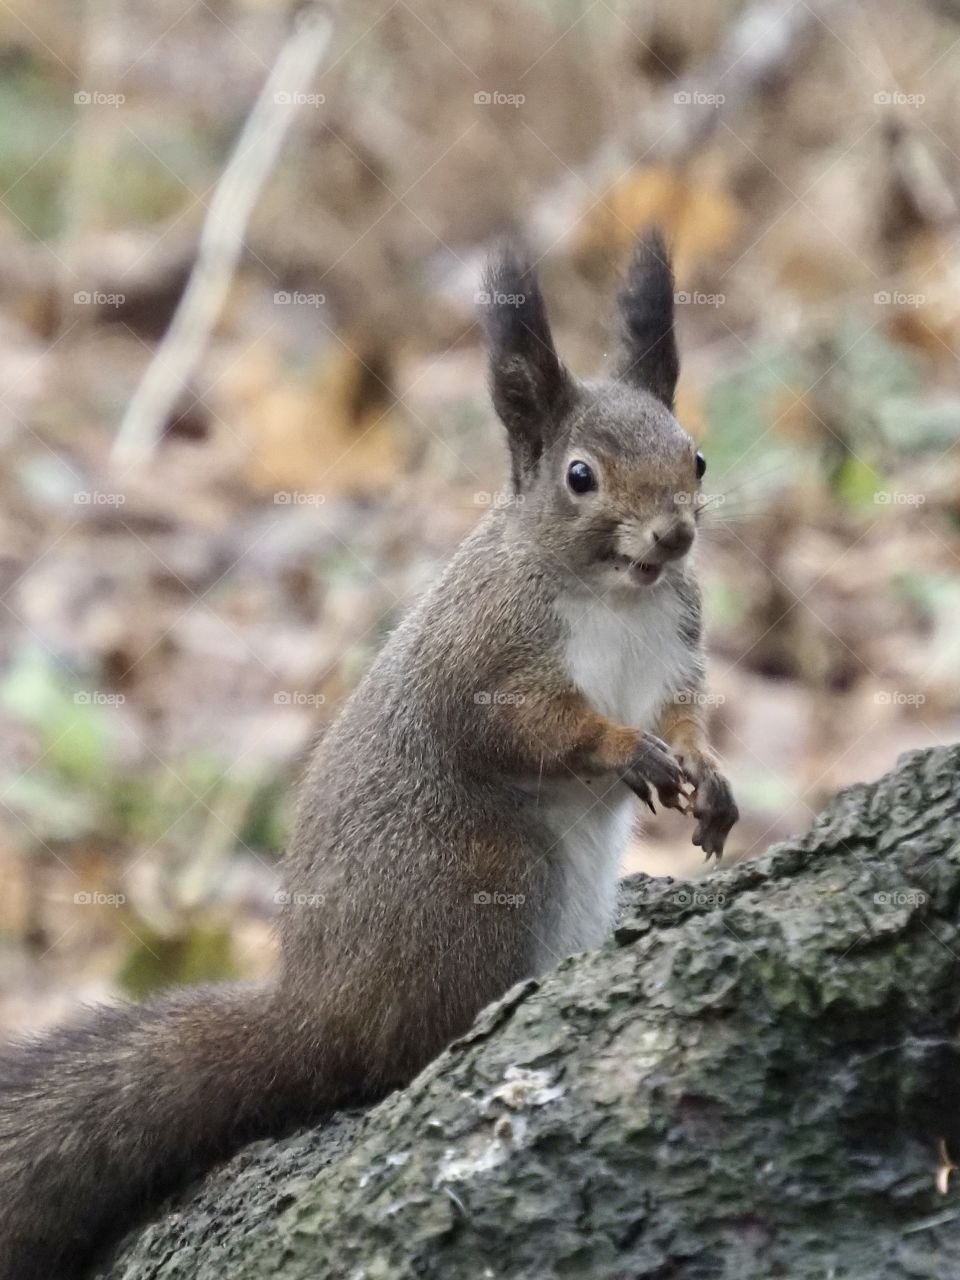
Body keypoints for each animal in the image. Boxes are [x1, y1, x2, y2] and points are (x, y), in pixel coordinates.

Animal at [0, 231, 737, 1280]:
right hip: (484, 882)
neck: (617, 593)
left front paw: (710, 779)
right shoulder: (485, 658)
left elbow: (688, 717)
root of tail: (319, 1013)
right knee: (402, 1055)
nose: (674, 535)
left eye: (697, 455)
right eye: (580, 476)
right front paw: (620, 748)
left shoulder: (676, 646)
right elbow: (523, 728)